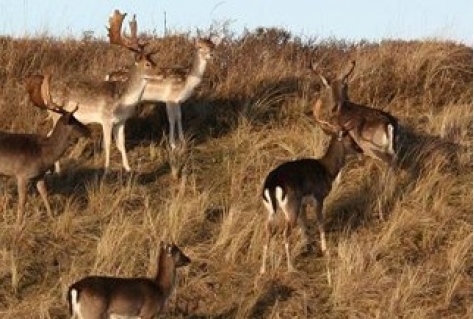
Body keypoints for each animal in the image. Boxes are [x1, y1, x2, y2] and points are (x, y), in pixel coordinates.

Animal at [2, 75, 90, 226]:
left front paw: (51, 217)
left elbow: (45, 194)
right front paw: (18, 225)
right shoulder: (21, 174)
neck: (44, 154)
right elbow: (22, 201)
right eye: (73, 120)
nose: (88, 130)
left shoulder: (40, 175)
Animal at [26, 10, 161, 175]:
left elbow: (121, 144)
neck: (123, 100)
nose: (161, 72)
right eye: (147, 64)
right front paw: (106, 169)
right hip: (56, 113)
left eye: (154, 60)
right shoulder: (106, 118)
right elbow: (108, 144)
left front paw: (128, 168)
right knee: (50, 134)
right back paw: (57, 170)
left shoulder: (121, 121)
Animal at [262, 127, 362, 284]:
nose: (361, 150)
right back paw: (291, 268)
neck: (327, 170)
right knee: (285, 233)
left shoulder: (303, 204)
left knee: (267, 232)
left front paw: (307, 248)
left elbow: (304, 224)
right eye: (351, 138)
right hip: (290, 207)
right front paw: (324, 249)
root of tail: (272, 184)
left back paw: (262, 270)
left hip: (270, 210)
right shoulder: (319, 197)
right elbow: (320, 222)